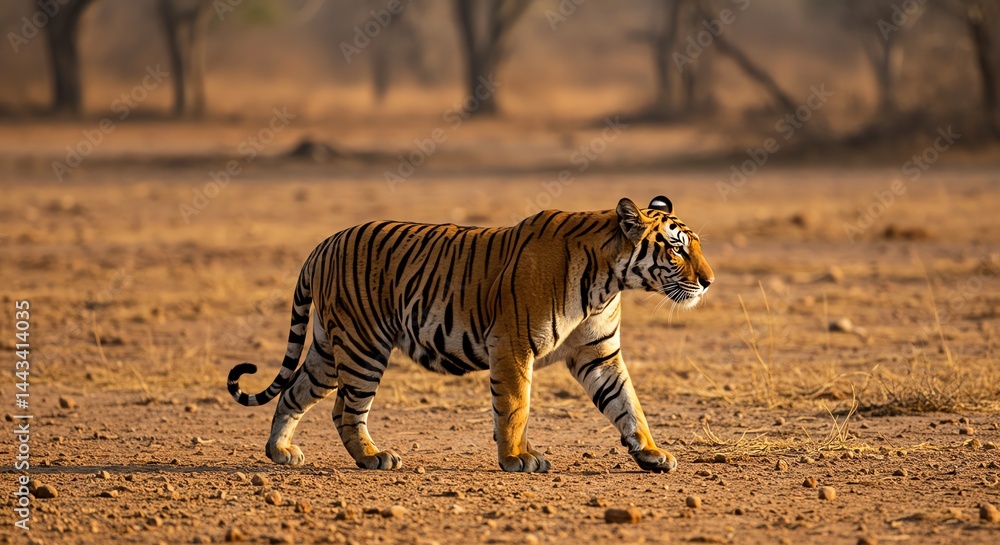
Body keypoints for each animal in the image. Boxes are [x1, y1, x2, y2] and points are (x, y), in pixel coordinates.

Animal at [228, 196, 714, 473]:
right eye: (676, 249)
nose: (709, 282)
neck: (609, 280)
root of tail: (322, 244)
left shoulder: (599, 353)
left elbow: (628, 404)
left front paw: (651, 453)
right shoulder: (513, 344)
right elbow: (515, 406)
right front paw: (517, 458)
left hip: (330, 350)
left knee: (294, 393)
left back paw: (280, 452)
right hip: (363, 346)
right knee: (344, 410)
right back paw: (372, 457)